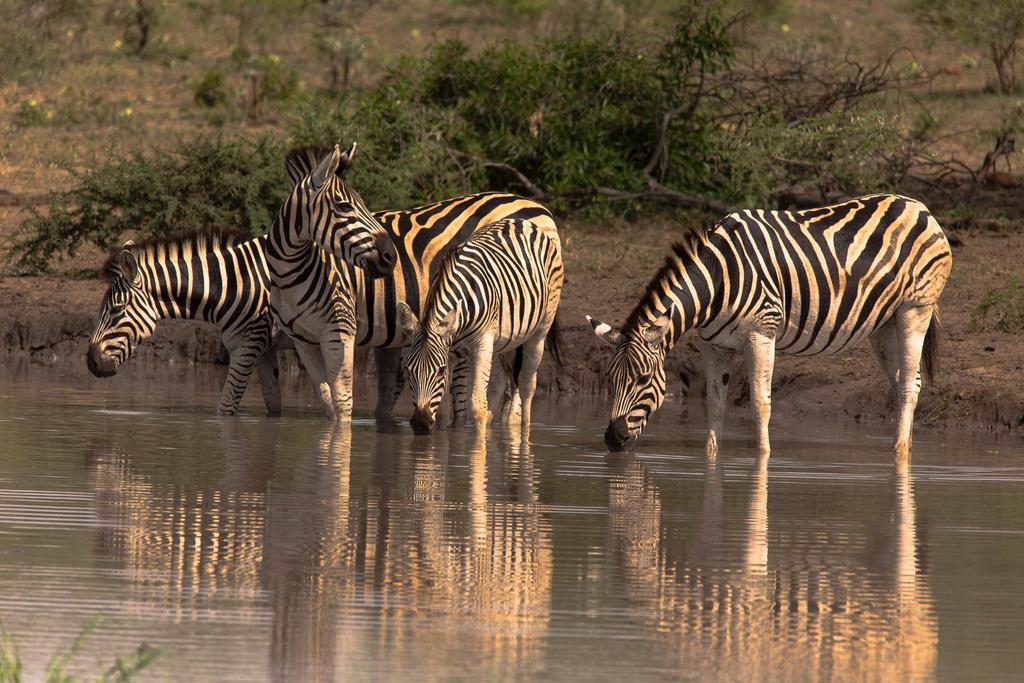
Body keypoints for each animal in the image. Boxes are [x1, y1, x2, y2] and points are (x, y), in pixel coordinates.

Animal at [86, 233, 280, 417]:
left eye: (116, 309)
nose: (91, 363)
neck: (234, 286)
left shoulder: (247, 344)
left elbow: (225, 408)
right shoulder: (265, 349)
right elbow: (273, 403)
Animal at [395, 216, 565, 436]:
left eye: (440, 370)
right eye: (408, 369)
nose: (420, 424)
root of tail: (522, 221)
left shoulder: (481, 343)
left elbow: (477, 406)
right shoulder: (451, 349)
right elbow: (444, 413)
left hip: (540, 330)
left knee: (527, 384)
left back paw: (524, 433)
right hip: (501, 341)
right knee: (499, 383)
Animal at [589, 194, 954, 462]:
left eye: (643, 379)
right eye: (609, 378)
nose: (613, 440)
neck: (716, 279)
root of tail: (918, 206)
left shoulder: (761, 333)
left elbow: (760, 403)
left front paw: (763, 459)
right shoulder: (714, 345)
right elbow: (715, 403)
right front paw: (711, 457)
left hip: (914, 311)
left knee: (908, 386)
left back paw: (899, 453)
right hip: (883, 325)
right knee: (908, 382)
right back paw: (904, 446)